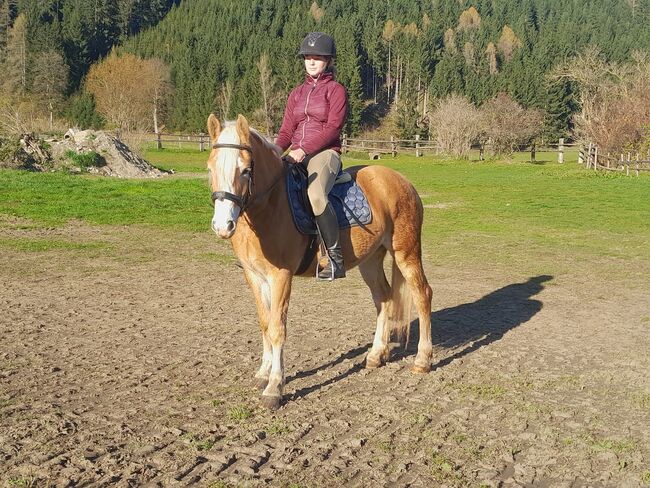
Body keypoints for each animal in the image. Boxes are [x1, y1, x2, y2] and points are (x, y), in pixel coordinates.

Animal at [205, 113, 432, 408]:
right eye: (210, 169)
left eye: (244, 170)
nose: (223, 226)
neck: (270, 205)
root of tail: (402, 181)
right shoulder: (254, 276)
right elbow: (265, 323)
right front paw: (263, 374)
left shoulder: (281, 276)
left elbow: (278, 327)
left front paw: (274, 387)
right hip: (371, 259)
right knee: (384, 298)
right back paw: (375, 355)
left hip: (406, 252)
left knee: (422, 294)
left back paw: (423, 360)